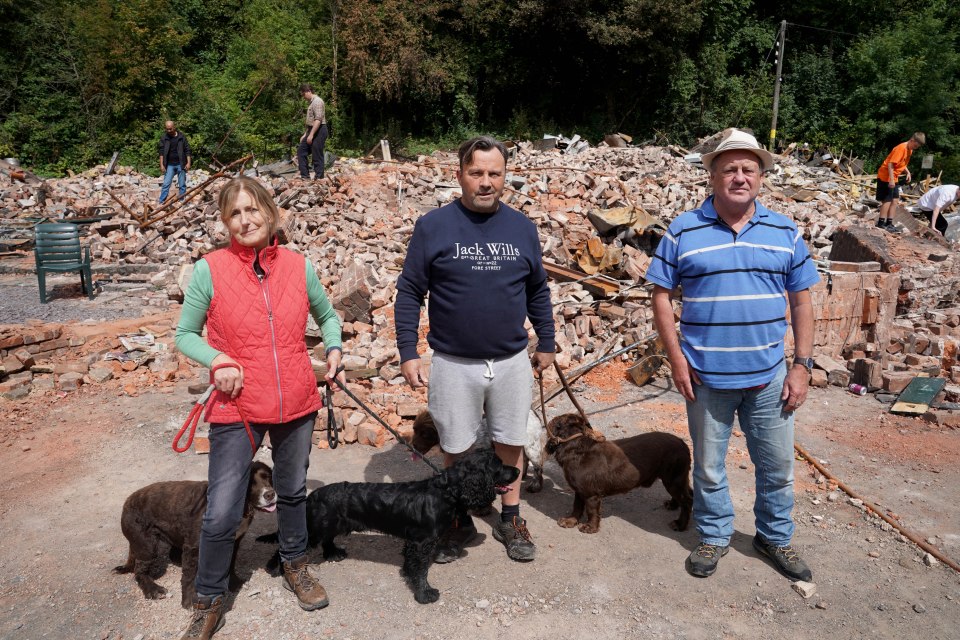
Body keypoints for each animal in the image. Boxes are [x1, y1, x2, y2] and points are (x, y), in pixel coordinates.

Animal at [115, 462, 278, 608]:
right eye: (249, 483)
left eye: (269, 476)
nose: (270, 494)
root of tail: (127, 502)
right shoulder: (193, 546)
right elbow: (189, 576)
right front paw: (189, 601)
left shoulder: (233, 542)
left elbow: (230, 565)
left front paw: (234, 582)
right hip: (147, 546)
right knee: (139, 571)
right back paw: (153, 589)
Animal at [258, 448, 516, 604]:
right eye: (499, 465)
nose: (517, 470)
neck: (445, 491)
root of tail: (312, 496)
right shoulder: (421, 543)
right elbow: (421, 570)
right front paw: (425, 593)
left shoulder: (415, 543)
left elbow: (412, 566)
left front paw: (410, 577)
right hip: (315, 528)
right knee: (285, 547)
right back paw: (274, 568)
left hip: (331, 525)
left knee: (328, 540)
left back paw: (333, 553)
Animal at [544, 412, 692, 532]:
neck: (576, 448)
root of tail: (683, 444)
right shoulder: (580, 490)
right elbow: (577, 506)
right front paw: (570, 521)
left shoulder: (591, 493)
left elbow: (591, 510)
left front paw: (590, 527)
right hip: (677, 479)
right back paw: (672, 505)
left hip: (673, 479)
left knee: (687, 501)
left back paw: (680, 524)